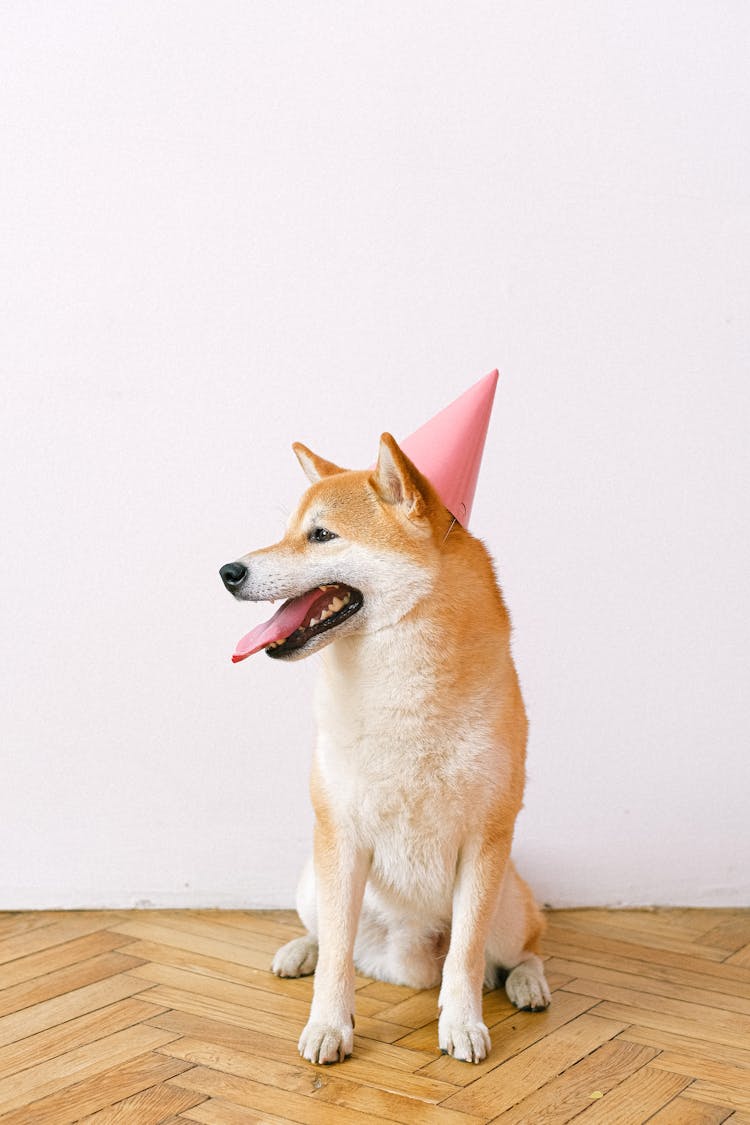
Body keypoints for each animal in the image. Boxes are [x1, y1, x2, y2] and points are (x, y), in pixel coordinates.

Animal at [220, 429, 548, 1062]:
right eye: (288, 530)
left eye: (321, 535)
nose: (227, 570)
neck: (401, 692)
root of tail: (406, 964)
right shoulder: (341, 835)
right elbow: (336, 959)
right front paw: (328, 1025)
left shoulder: (486, 839)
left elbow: (466, 958)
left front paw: (462, 1024)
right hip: (313, 881)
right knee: (328, 936)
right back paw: (300, 950)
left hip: (507, 904)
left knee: (521, 949)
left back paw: (527, 982)